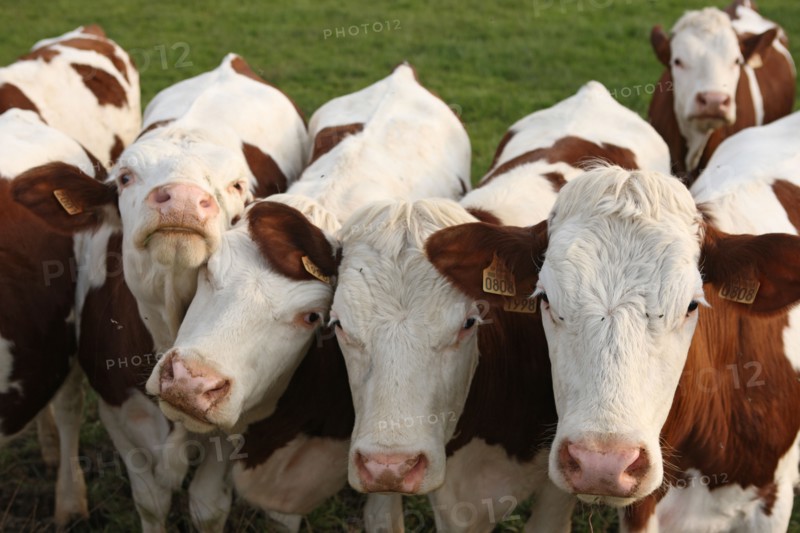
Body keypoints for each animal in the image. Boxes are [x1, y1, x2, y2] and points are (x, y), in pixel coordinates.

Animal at [12, 53, 308, 532]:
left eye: (237, 185)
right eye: (125, 177)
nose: (183, 198)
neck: (168, 325)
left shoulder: (239, 413)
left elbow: (208, 506)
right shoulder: (117, 409)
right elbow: (150, 500)